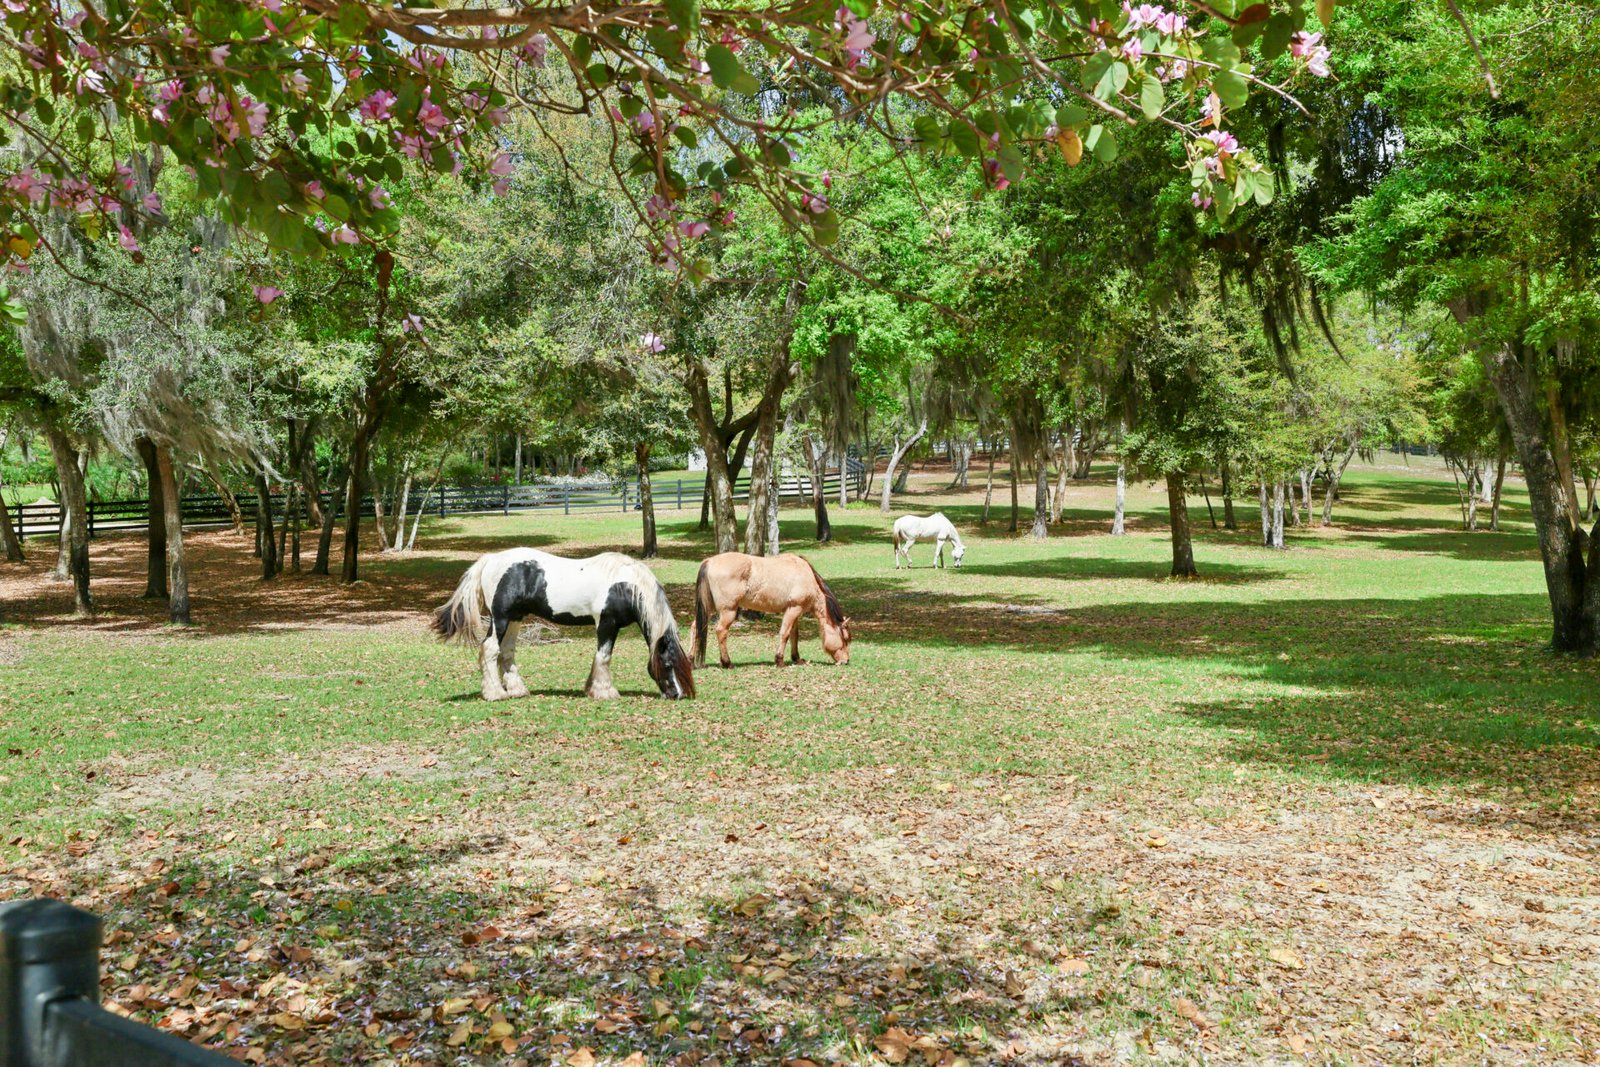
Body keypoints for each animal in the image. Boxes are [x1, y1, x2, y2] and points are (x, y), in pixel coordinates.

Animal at [432, 548, 694, 702]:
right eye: (667, 664)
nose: (677, 694)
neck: (625, 585)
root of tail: (490, 560)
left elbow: (599, 658)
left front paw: (592, 688)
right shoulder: (606, 623)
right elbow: (604, 657)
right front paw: (605, 692)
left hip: (515, 618)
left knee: (506, 652)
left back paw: (517, 690)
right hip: (501, 618)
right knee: (489, 649)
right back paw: (495, 694)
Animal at [691, 552, 852, 668]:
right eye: (845, 638)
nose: (846, 661)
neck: (806, 576)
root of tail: (709, 561)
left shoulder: (794, 612)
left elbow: (794, 635)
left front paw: (797, 658)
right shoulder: (794, 609)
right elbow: (785, 634)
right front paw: (779, 660)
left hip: (708, 609)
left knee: (695, 627)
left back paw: (691, 660)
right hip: (728, 611)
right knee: (721, 631)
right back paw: (727, 662)